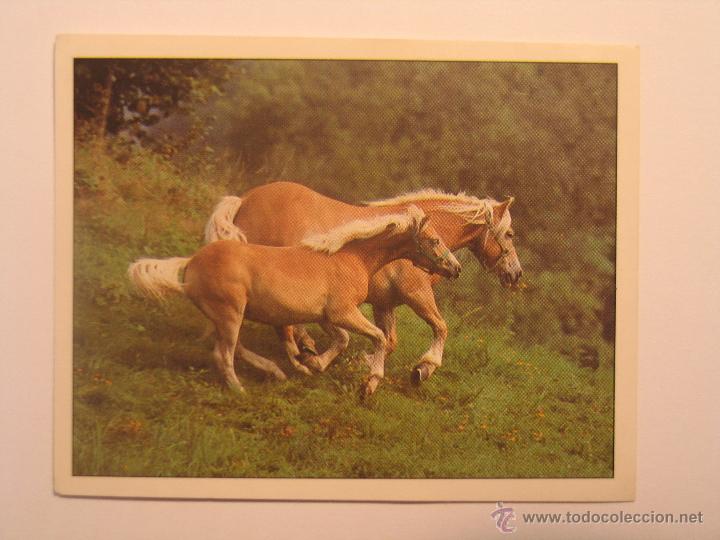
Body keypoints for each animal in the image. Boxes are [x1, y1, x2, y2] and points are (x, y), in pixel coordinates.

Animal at [128, 206, 461, 397]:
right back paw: (240, 390)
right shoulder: (343, 312)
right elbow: (378, 337)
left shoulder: (327, 317)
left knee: (235, 348)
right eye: (434, 240)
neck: (352, 258)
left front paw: (313, 363)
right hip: (230, 315)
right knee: (223, 354)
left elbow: (342, 341)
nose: (455, 268)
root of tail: (191, 263)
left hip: (228, 317)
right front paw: (369, 385)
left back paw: (278, 371)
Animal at [204, 181, 522, 383]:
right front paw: (423, 369)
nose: (516, 274)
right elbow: (440, 328)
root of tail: (245, 199)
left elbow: (388, 341)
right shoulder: (417, 295)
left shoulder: (384, 304)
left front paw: (361, 363)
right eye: (509, 234)